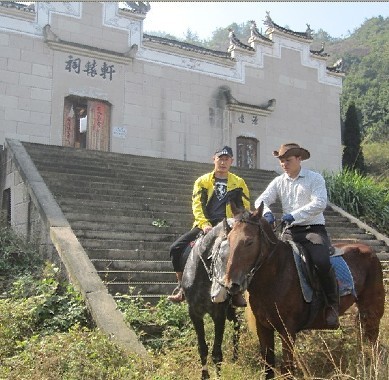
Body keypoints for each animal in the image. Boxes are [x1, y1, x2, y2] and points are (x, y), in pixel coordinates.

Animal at [181, 221, 239, 378]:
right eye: (221, 257)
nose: (229, 289)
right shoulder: (194, 313)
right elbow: (202, 348)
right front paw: (204, 375)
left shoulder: (219, 313)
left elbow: (217, 353)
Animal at [223, 202, 384, 378]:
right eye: (229, 240)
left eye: (249, 242)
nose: (231, 284)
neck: (277, 274)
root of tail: (370, 251)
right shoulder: (263, 328)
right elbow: (268, 365)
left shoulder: (287, 331)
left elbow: (287, 369)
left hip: (372, 313)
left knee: (374, 344)